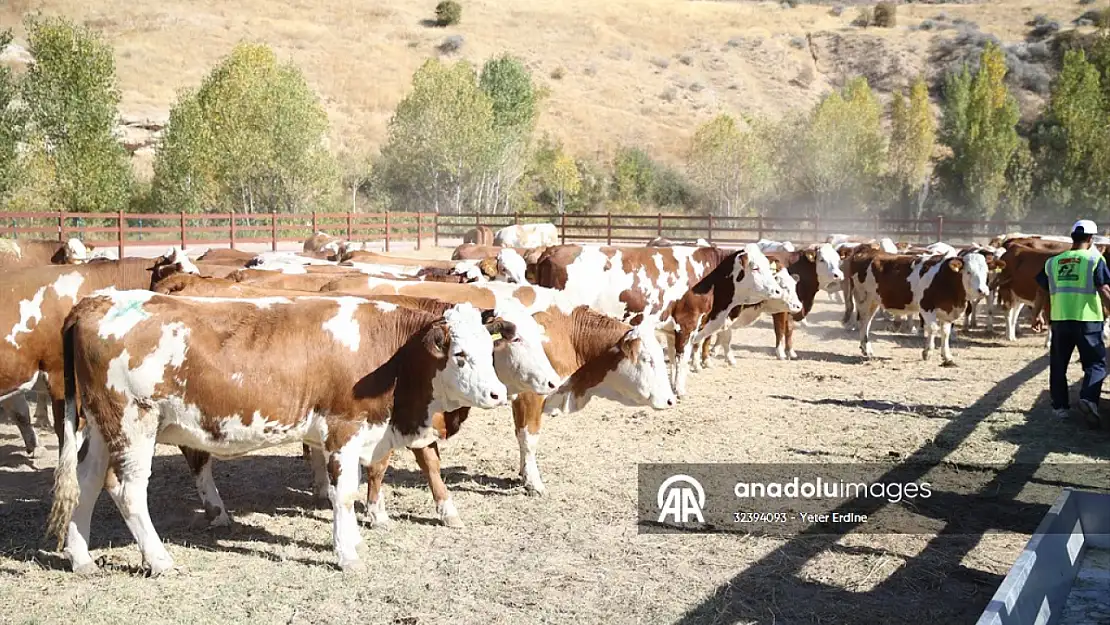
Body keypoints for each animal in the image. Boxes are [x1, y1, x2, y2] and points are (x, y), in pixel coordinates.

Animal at [46, 290, 508, 572]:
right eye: (460, 354)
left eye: (490, 349)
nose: (498, 393)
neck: (390, 355)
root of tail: (95, 300)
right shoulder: (343, 430)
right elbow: (344, 495)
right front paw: (346, 553)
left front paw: (354, 542)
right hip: (133, 423)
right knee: (128, 492)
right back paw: (159, 560)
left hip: (102, 427)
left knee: (86, 483)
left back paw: (81, 558)